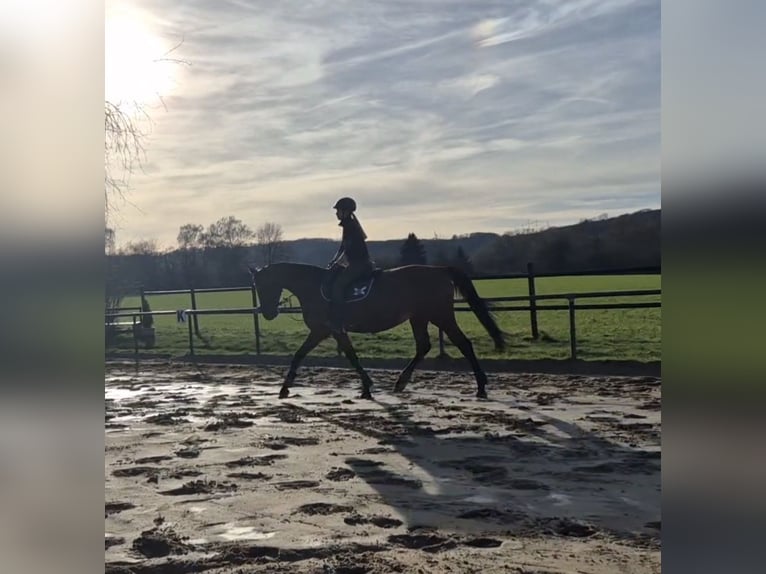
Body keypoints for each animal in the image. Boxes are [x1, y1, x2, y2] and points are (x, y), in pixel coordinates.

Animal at [248, 262, 506, 399]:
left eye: (262, 285)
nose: (267, 313)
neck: (313, 287)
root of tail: (439, 270)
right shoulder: (332, 331)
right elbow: (344, 356)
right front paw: (366, 385)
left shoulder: (325, 330)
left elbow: (305, 354)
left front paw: (284, 387)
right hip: (419, 317)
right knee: (423, 346)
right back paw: (401, 382)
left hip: (440, 315)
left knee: (463, 344)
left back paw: (481, 386)